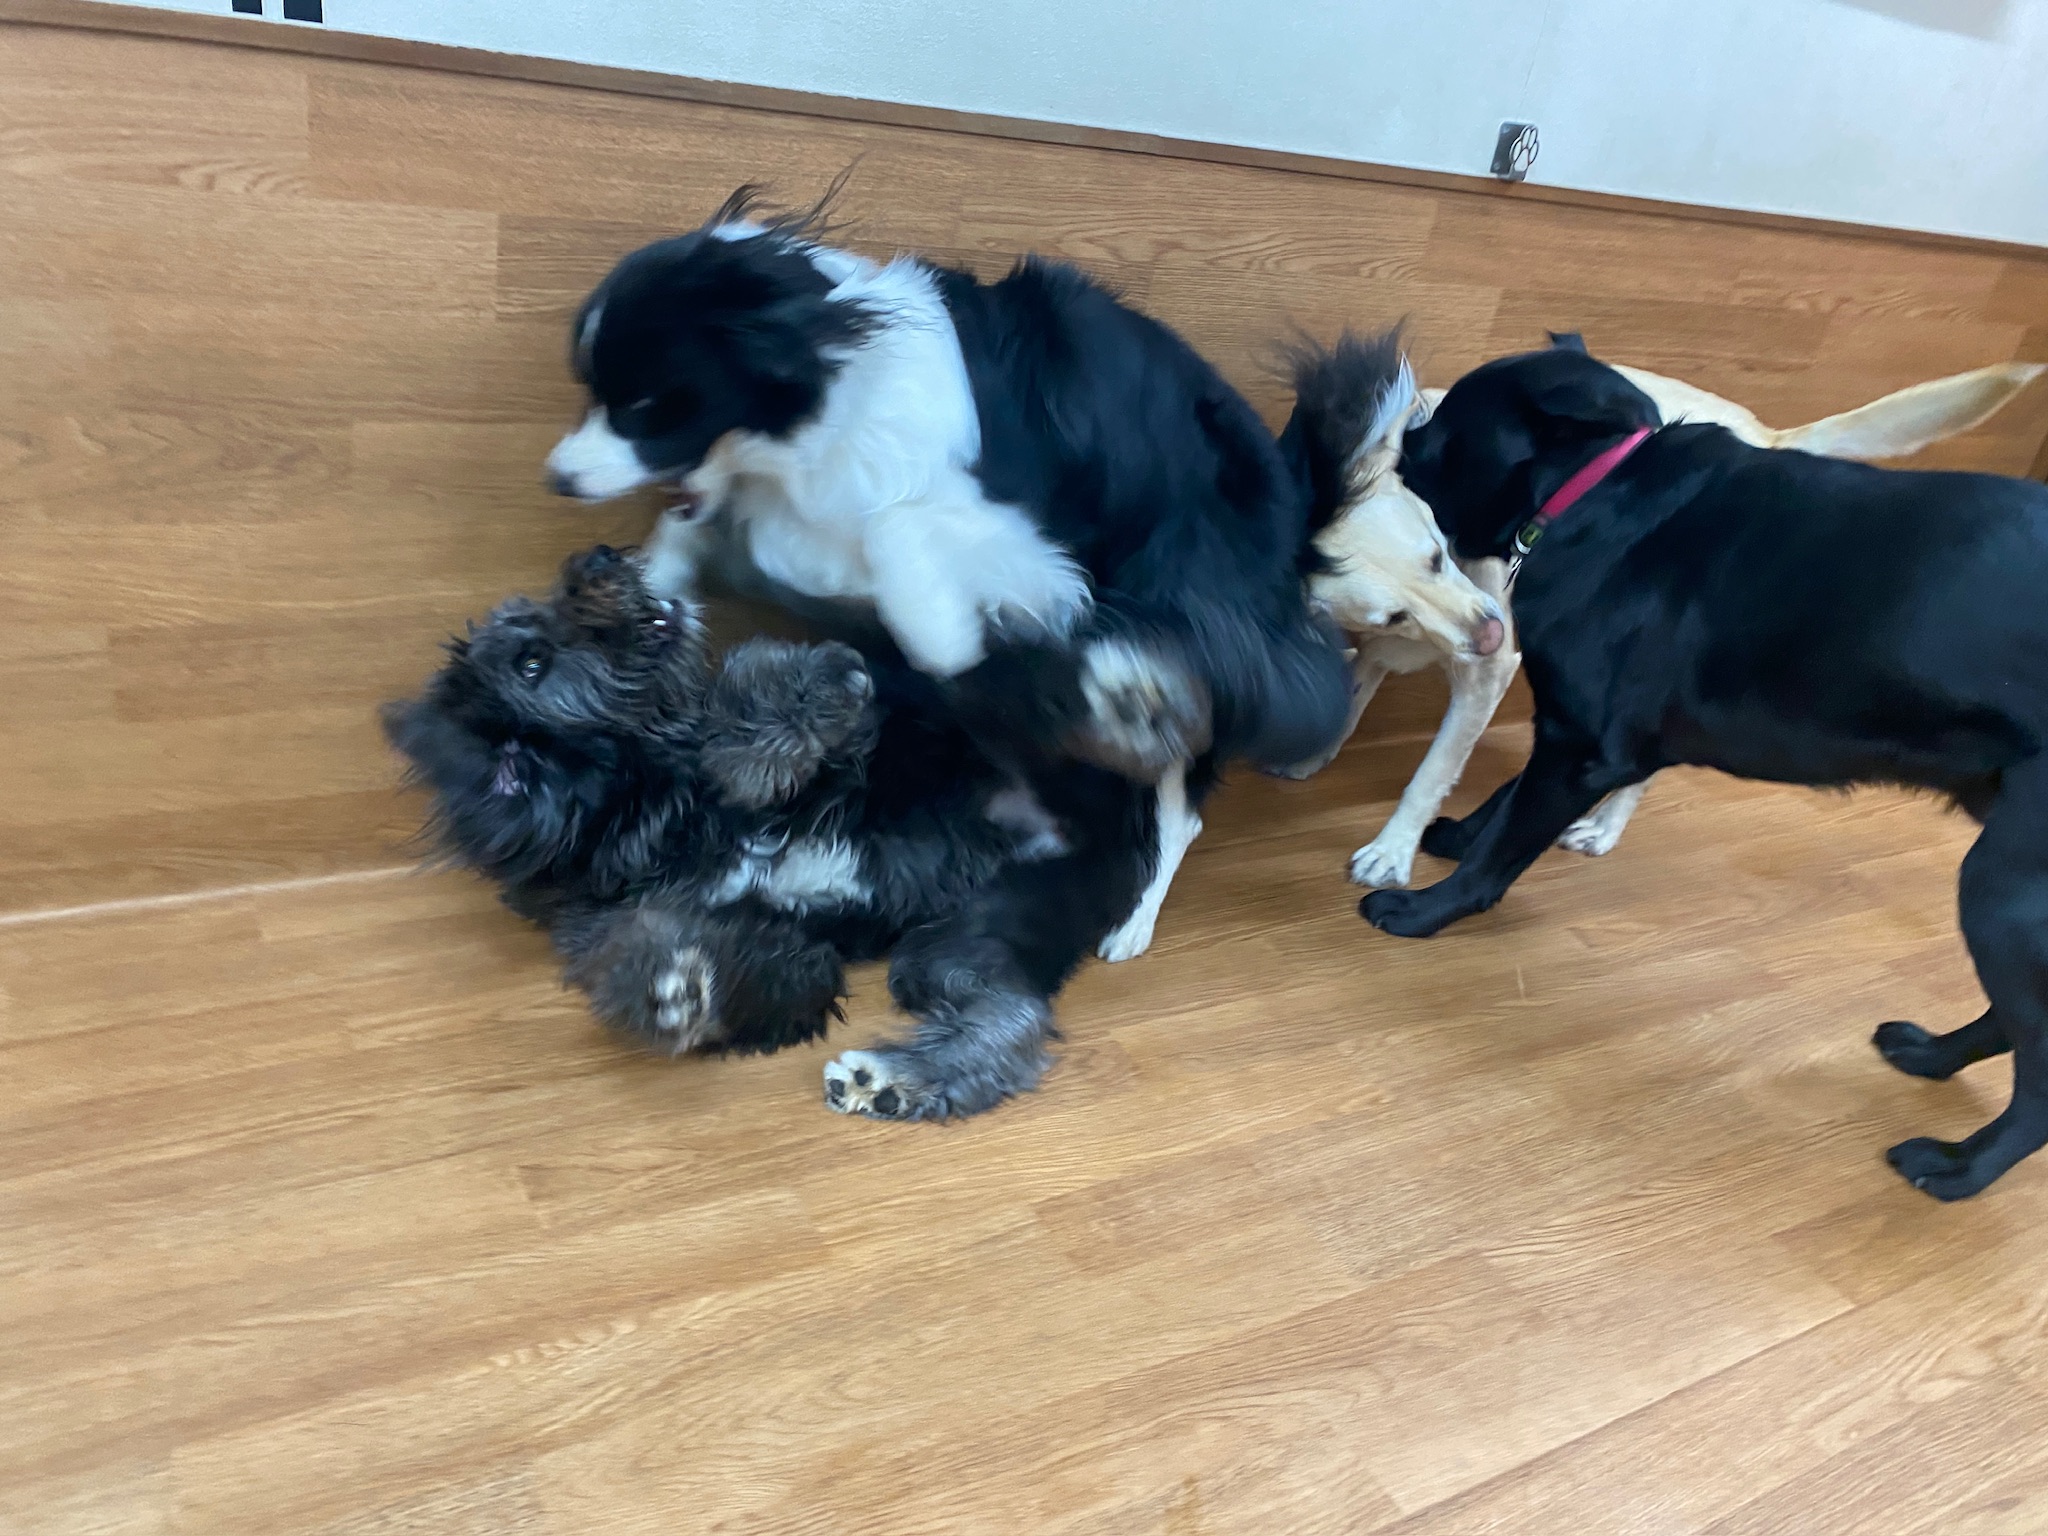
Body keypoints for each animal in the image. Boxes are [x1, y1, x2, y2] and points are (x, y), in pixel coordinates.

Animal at [383, 545, 1154, 1120]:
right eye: (532, 664)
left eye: (530, 633)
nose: (594, 558)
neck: (653, 815)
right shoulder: (786, 950)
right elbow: (732, 973)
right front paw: (673, 989)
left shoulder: (842, 759)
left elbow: (754, 700)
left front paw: (799, 701)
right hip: (969, 935)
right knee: (1010, 1018)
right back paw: (895, 1082)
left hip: (972, 711)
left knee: (1029, 691)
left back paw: (1126, 698)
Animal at [542, 186, 1355, 956]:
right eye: (592, 393)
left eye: (645, 404)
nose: (558, 479)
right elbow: (698, 528)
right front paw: (653, 590)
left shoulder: (1016, 534)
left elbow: (899, 542)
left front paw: (958, 647)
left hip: (1183, 587)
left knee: (1179, 806)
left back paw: (1131, 907)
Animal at [1281, 333, 2043, 891]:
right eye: (1392, 614)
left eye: (1438, 552)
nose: (1494, 629)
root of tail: (1765, 431)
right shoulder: (1380, 643)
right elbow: (1353, 689)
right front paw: (1316, 749)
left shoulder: (1488, 675)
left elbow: (1431, 773)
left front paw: (1392, 850)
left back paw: (1604, 826)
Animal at [1359, 337, 2048, 1200]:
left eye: (1446, 428)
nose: (1396, 446)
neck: (1604, 485)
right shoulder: (1588, 732)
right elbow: (1512, 801)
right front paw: (1459, 836)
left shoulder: (1584, 741)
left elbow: (1498, 855)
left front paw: (1421, 908)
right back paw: (1929, 1055)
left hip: (2005, 889)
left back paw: (1956, 1169)